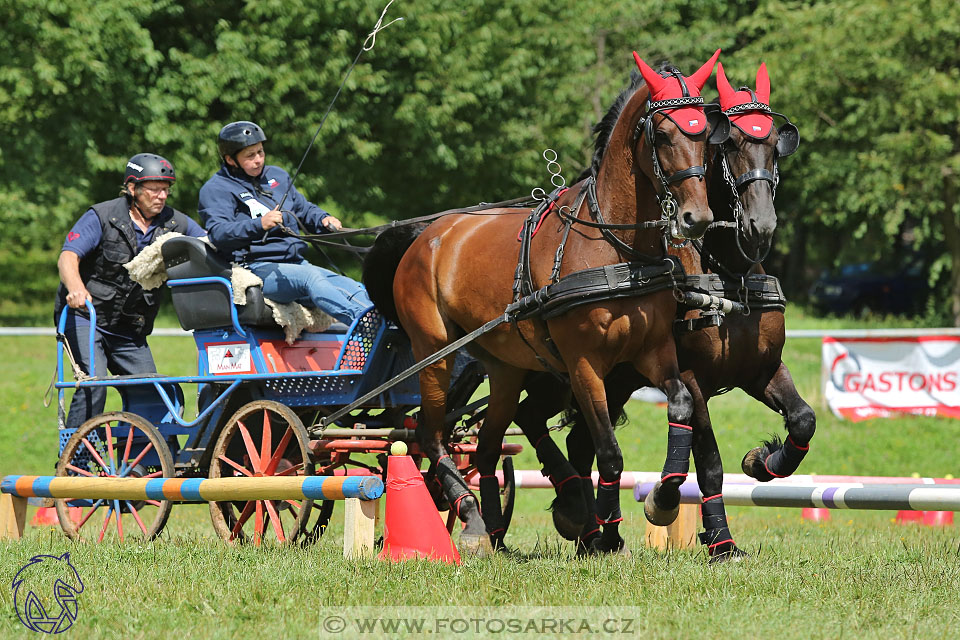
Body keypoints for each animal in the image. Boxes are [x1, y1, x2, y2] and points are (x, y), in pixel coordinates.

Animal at [366, 48, 720, 552]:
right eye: (665, 133)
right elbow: (608, 451)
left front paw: (663, 498)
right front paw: (606, 533)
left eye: (704, 134)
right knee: (431, 436)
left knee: (487, 448)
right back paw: (471, 516)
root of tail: (424, 234)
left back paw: (492, 530)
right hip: (434, 354)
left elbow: (682, 405)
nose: (696, 218)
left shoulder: (655, 352)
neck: (616, 247)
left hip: (504, 369)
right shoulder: (584, 364)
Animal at [512, 61, 812, 560]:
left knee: (580, 441)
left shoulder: (762, 368)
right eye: (730, 144)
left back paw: (598, 531)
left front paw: (762, 460)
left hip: (611, 380)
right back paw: (578, 517)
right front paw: (713, 535)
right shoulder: (692, 377)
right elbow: (709, 463)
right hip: (563, 373)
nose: (760, 227)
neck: (727, 275)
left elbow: (803, 420)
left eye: (774, 144)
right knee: (533, 419)